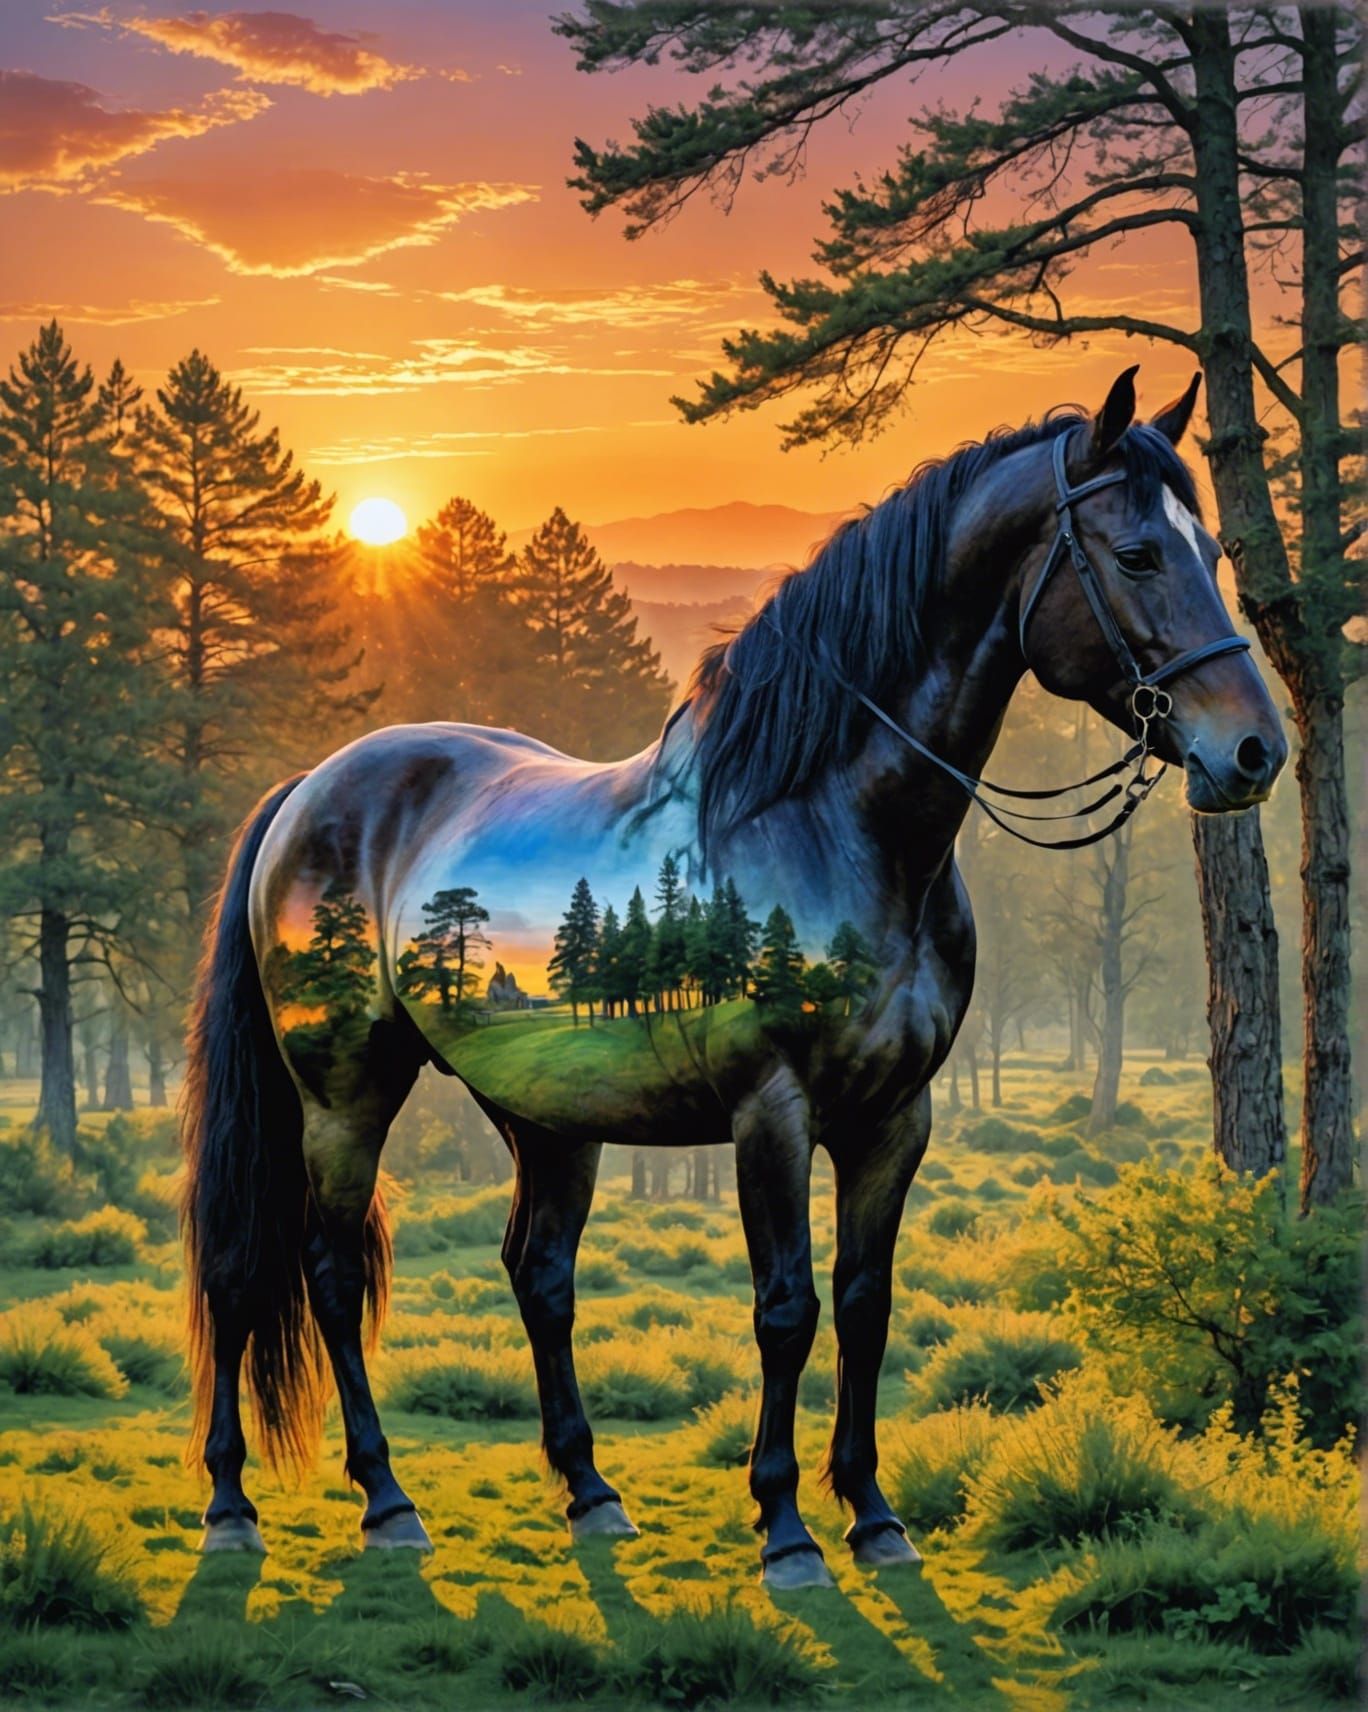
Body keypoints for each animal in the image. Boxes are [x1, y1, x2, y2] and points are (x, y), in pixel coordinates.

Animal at [182, 367, 1286, 1589]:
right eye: (1136, 553)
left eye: (1210, 550)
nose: (1254, 751)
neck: (831, 823)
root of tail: (310, 791)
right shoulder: (774, 1109)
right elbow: (786, 1309)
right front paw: (788, 1526)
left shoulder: (896, 1118)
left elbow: (864, 1304)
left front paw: (874, 1514)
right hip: (341, 1093)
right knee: (292, 1270)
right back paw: (319, 1499)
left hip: (549, 1115)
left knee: (538, 1273)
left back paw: (589, 1491)